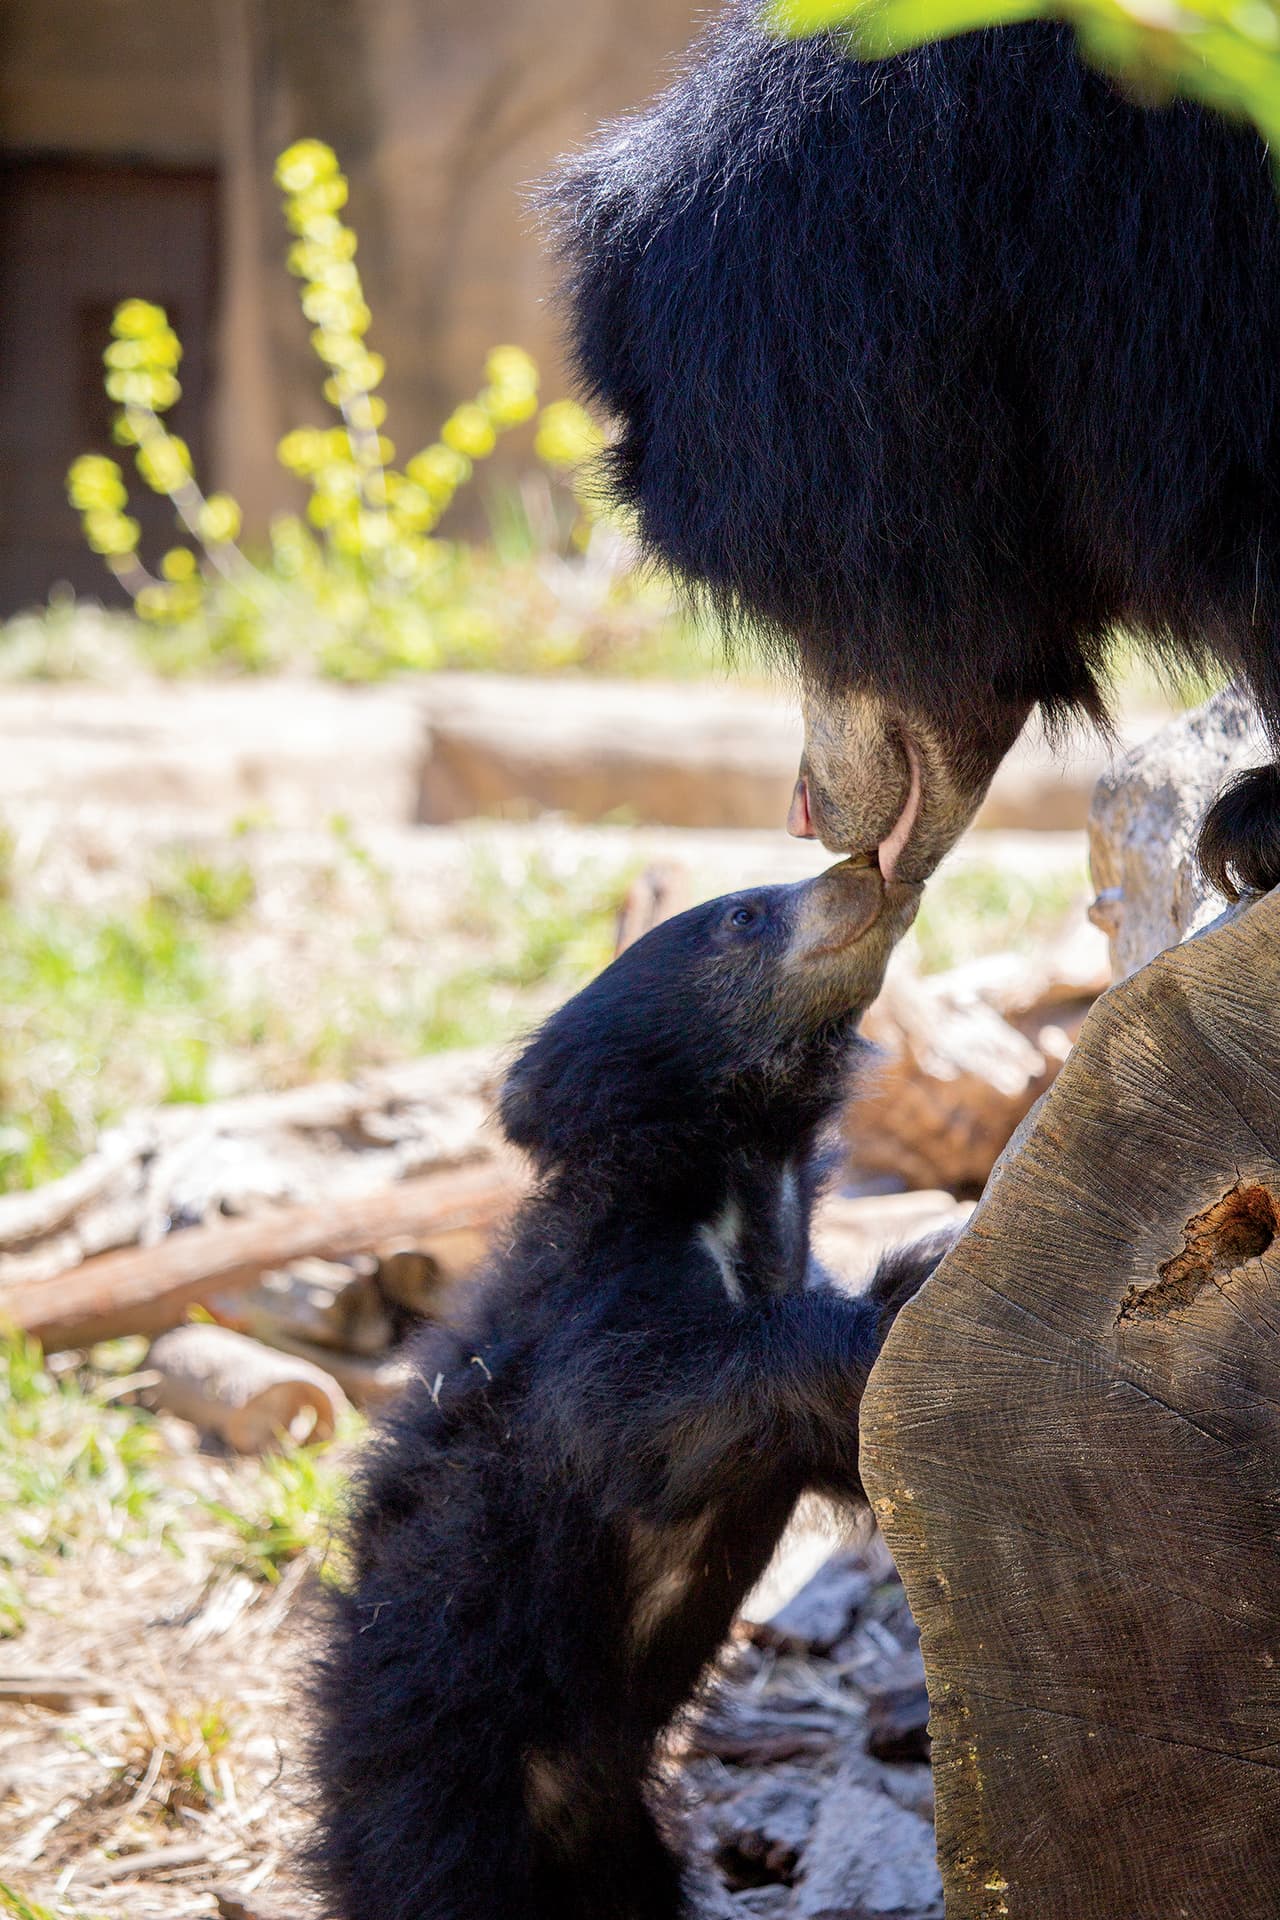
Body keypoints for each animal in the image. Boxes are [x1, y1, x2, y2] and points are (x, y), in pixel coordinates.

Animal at [311, 859, 951, 1920]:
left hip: (613, 1831)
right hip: (440, 1775)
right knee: (430, 1878)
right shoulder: (598, 1312)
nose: (862, 874)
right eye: (743, 916)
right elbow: (643, 1419)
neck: (742, 1195)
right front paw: (911, 1290)